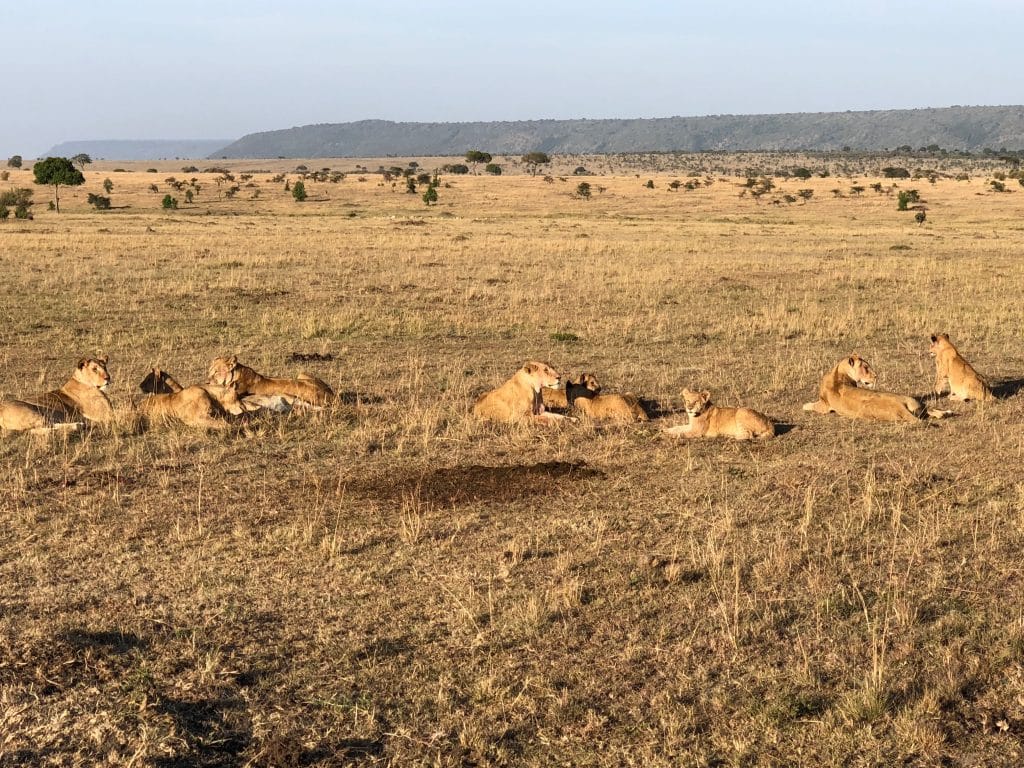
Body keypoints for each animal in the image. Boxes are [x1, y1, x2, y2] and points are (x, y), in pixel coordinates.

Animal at [798, 354, 950, 421]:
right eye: (865, 367)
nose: (876, 376)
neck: (838, 372)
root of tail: (899, 406)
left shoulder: (824, 406)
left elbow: (810, 406)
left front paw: (804, 405)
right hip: (913, 402)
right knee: (927, 409)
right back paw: (945, 413)